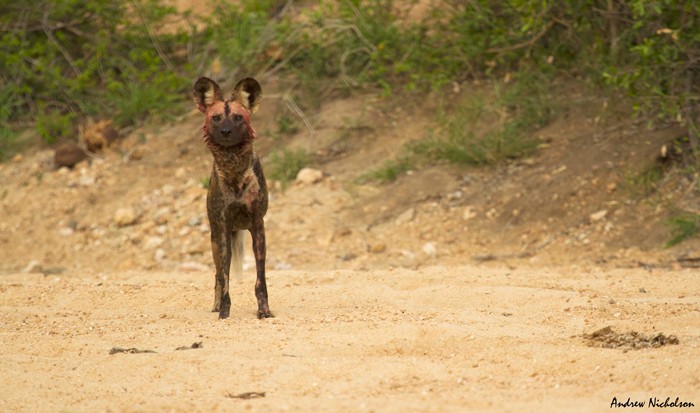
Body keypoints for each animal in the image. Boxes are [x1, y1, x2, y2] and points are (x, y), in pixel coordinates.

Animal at [193, 78, 272, 322]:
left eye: (238, 117)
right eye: (216, 117)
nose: (226, 131)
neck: (234, 172)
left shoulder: (257, 225)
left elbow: (260, 280)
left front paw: (264, 311)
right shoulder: (224, 228)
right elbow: (225, 277)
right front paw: (224, 311)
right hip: (215, 239)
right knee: (218, 274)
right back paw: (216, 305)